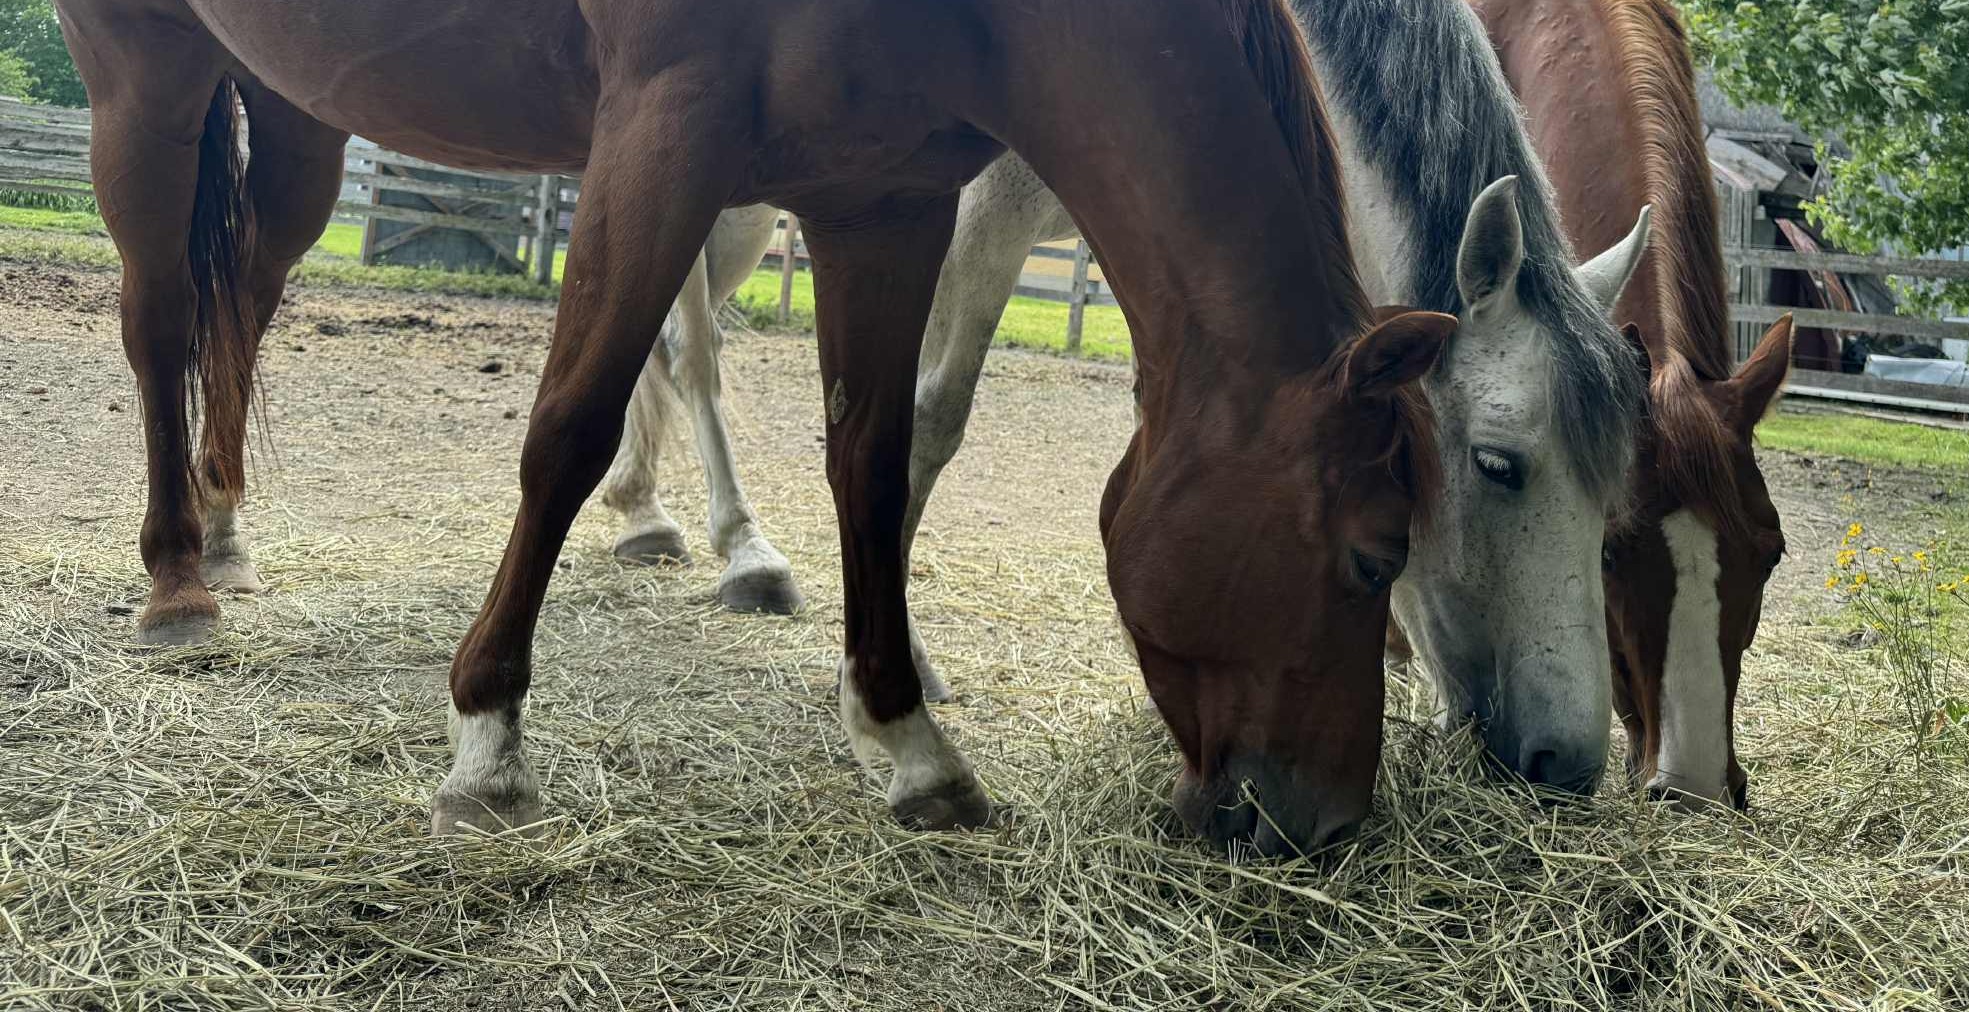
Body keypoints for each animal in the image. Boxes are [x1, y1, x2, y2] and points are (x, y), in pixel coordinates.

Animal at [59, 0, 1454, 855]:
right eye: (1374, 557)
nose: (1327, 823)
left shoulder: (880, 199)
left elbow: (875, 467)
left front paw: (909, 739)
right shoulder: (662, 128)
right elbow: (569, 429)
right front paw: (487, 742)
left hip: (295, 108)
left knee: (245, 291)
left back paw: (227, 532)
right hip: (144, 71)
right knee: (160, 316)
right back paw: (177, 581)